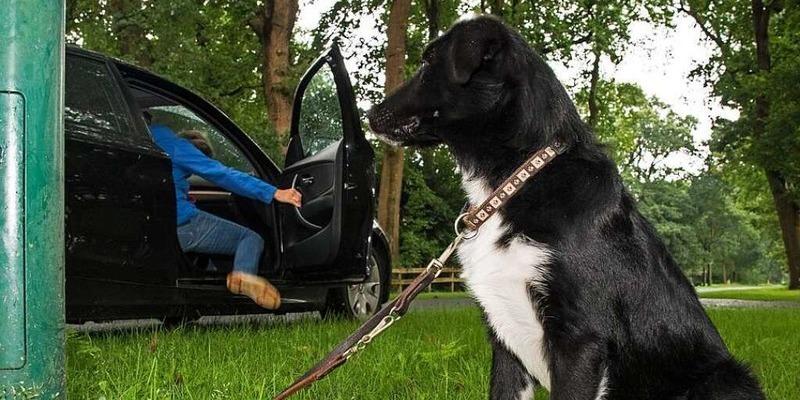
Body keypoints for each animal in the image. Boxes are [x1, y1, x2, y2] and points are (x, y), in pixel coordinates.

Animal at [368, 15, 764, 400]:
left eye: (429, 61)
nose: (371, 113)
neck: (519, 178)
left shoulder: (579, 337)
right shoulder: (505, 341)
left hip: (721, 380)